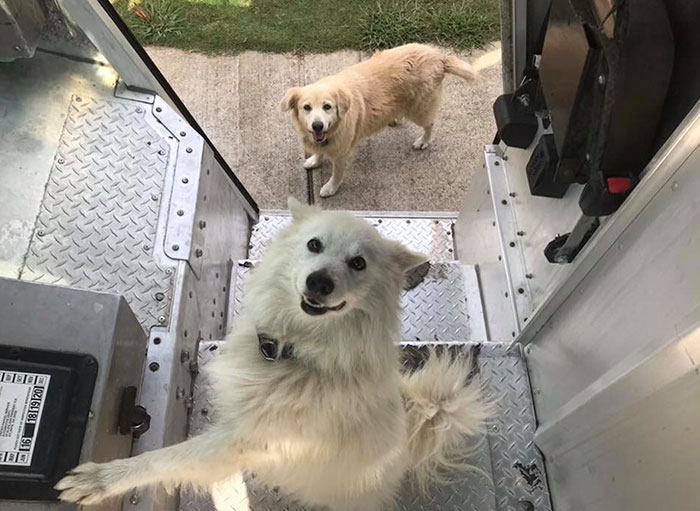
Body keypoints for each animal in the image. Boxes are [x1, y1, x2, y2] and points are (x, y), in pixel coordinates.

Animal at [57, 198, 490, 510]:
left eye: (358, 263)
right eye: (314, 245)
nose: (319, 282)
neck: (292, 350)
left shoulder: (242, 439)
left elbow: (165, 459)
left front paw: (100, 480)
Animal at [282, 43, 478, 198]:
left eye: (327, 106)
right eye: (307, 107)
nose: (317, 125)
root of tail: (439, 57)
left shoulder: (341, 153)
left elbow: (337, 174)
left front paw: (331, 188)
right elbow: (319, 151)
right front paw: (315, 159)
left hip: (419, 110)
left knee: (429, 124)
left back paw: (424, 141)